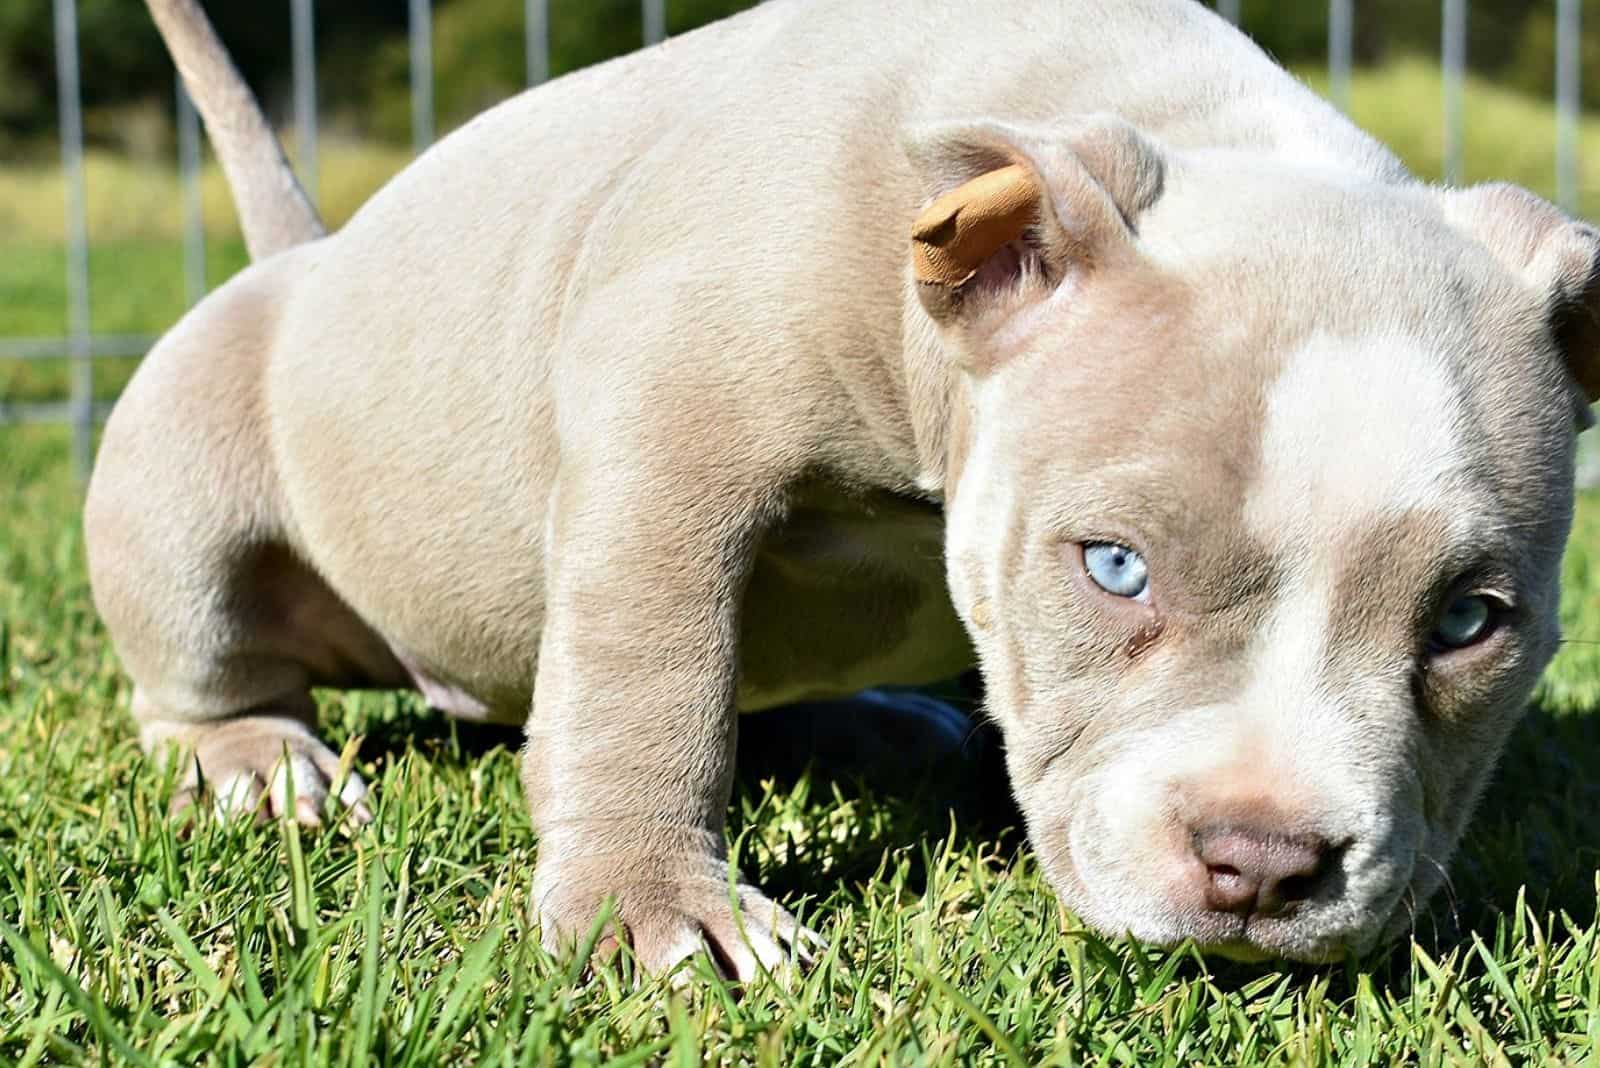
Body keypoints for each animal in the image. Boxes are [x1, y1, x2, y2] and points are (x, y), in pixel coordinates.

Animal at [90, 0, 1600, 972]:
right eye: (1113, 567)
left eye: (1469, 622)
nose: (1265, 862)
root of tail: (312, 250)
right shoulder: (666, 433)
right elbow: (653, 674)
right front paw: (654, 910)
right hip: (183, 476)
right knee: (204, 662)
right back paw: (254, 764)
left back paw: (886, 720)